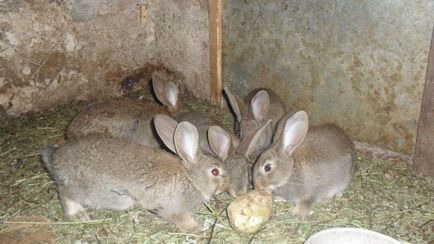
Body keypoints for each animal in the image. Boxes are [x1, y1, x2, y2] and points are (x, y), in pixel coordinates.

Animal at [42, 115, 229, 233]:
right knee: (65, 194)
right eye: (215, 172)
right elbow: (180, 218)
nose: (225, 187)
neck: (191, 178)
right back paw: (78, 214)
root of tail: (55, 159)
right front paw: (198, 228)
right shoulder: (173, 208)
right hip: (90, 191)